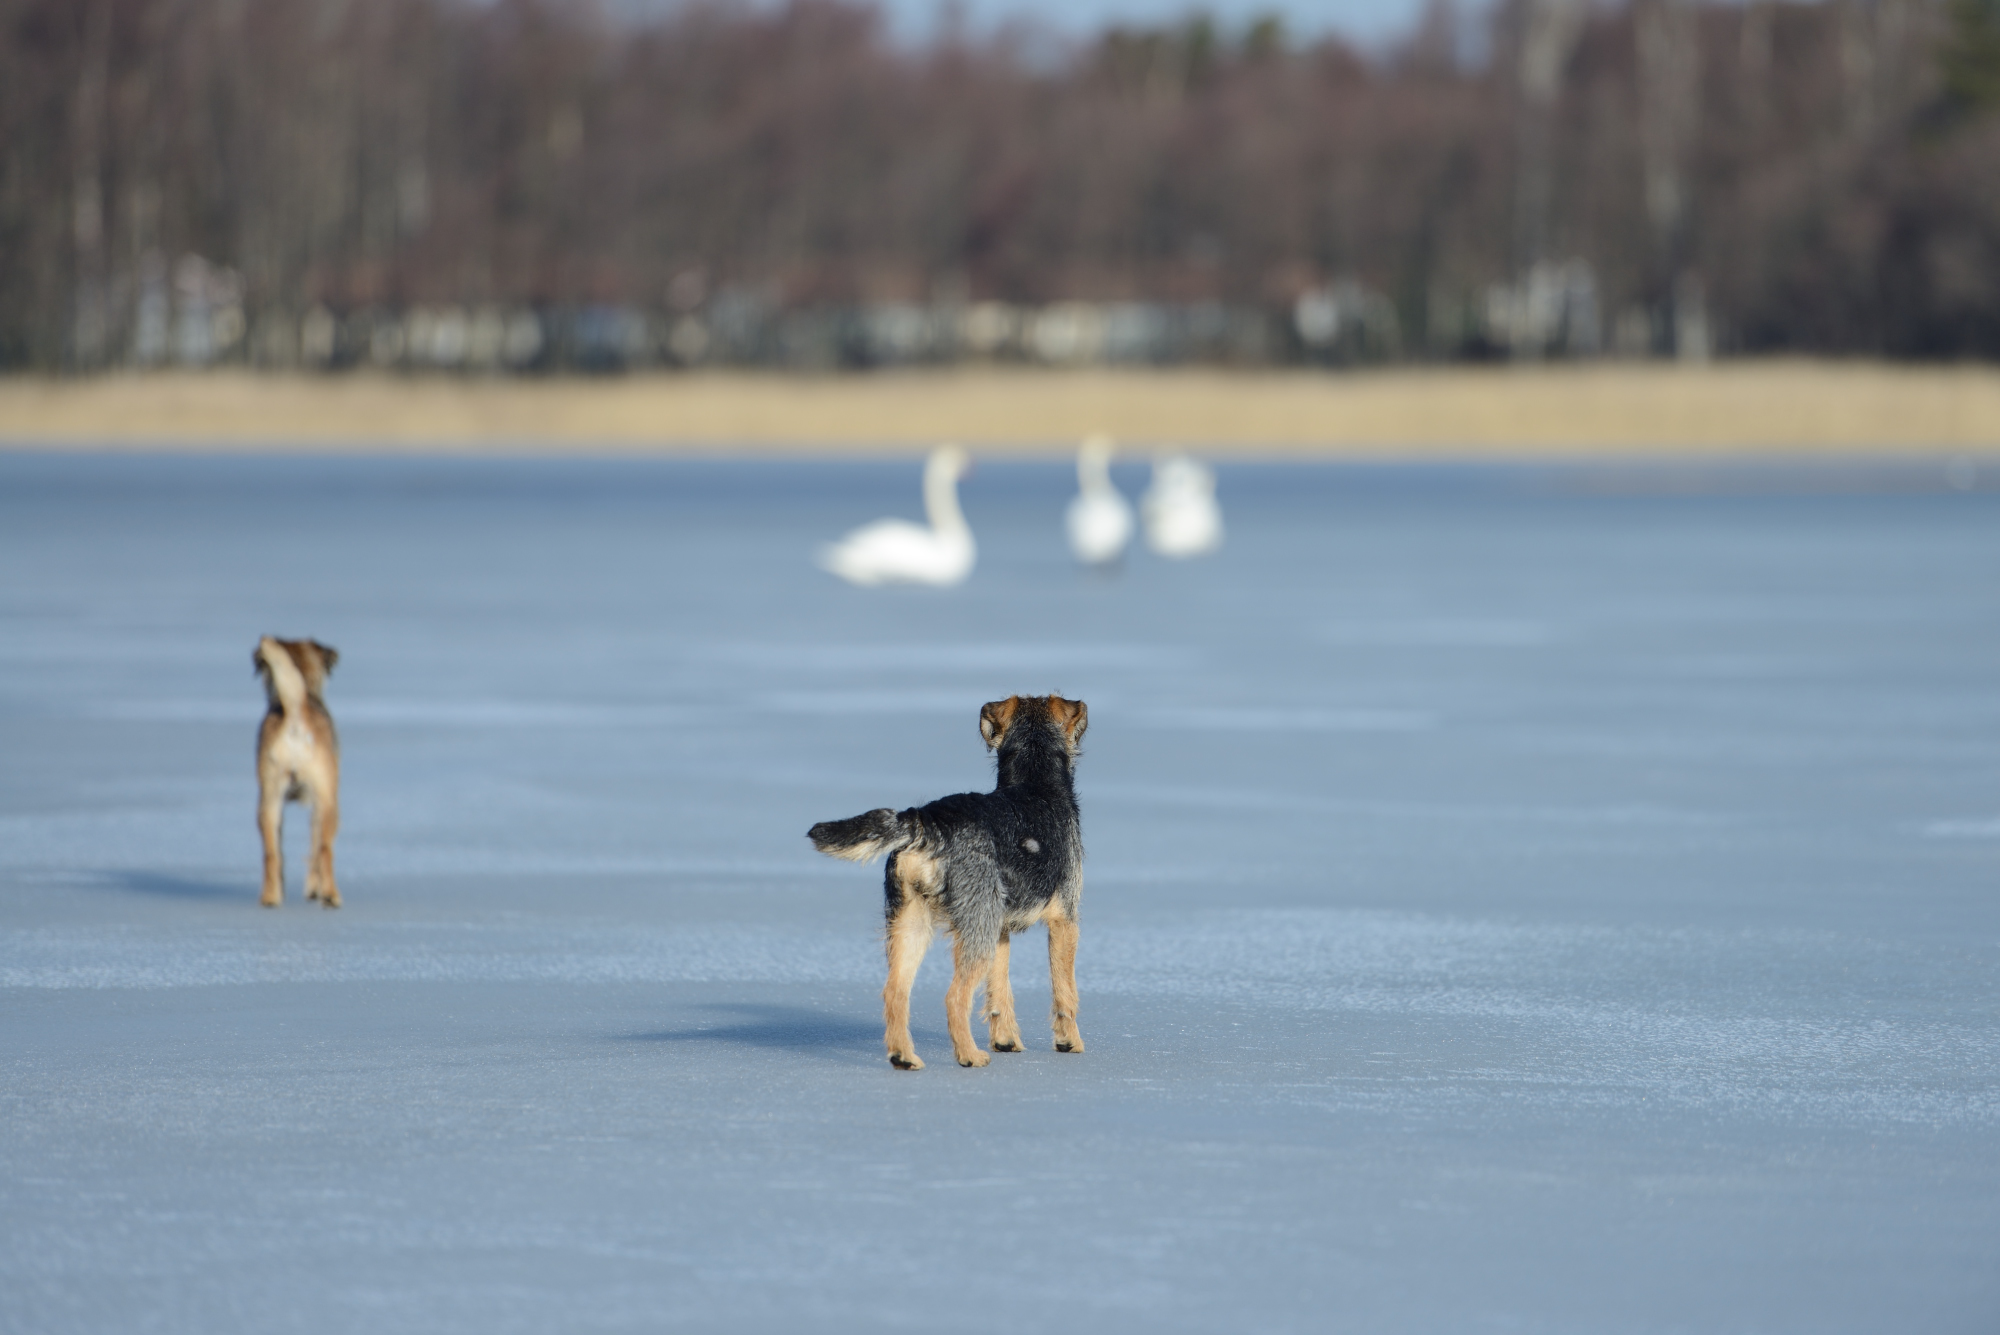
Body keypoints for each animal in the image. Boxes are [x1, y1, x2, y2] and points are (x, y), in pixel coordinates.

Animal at [252, 635, 342, 907]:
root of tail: (295, 710)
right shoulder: (321, 798)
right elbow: (315, 847)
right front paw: (314, 889)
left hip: (269, 799)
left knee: (271, 853)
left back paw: (271, 897)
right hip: (328, 802)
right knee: (324, 849)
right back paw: (331, 895)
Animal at [808, 695, 1088, 1071]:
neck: (1035, 781)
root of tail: (927, 822)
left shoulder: (999, 928)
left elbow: (999, 991)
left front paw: (1006, 1040)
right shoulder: (1065, 919)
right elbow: (1064, 991)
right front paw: (1069, 1042)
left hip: (915, 924)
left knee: (895, 991)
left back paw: (904, 1057)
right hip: (969, 929)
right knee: (954, 997)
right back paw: (969, 1056)